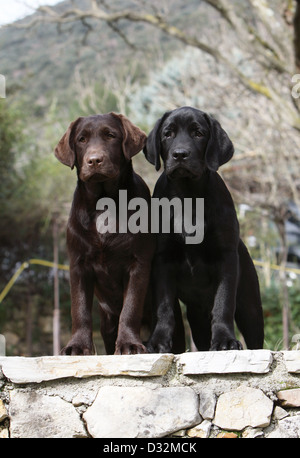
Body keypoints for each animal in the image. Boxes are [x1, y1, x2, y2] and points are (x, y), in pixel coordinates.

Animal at [54, 112, 155, 356]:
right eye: (81, 139)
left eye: (111, 135)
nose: (94, 160)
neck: (104, 203)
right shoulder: (78, 264)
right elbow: (80, 309)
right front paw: (77, 346)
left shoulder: (138, 263)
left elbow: (131, 307)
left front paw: (129, 344)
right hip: (107, 322)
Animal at [144, 105, 264, 352]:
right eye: (167, 134)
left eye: (198, 133)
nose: (180, 154)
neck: (188, 196)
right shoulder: (162, 260)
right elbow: (164, 308)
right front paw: (158, 342)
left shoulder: (226, 258)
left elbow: (224, 302)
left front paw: (225, 340)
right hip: (197, 316)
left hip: (250, 306)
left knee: (256, 338)